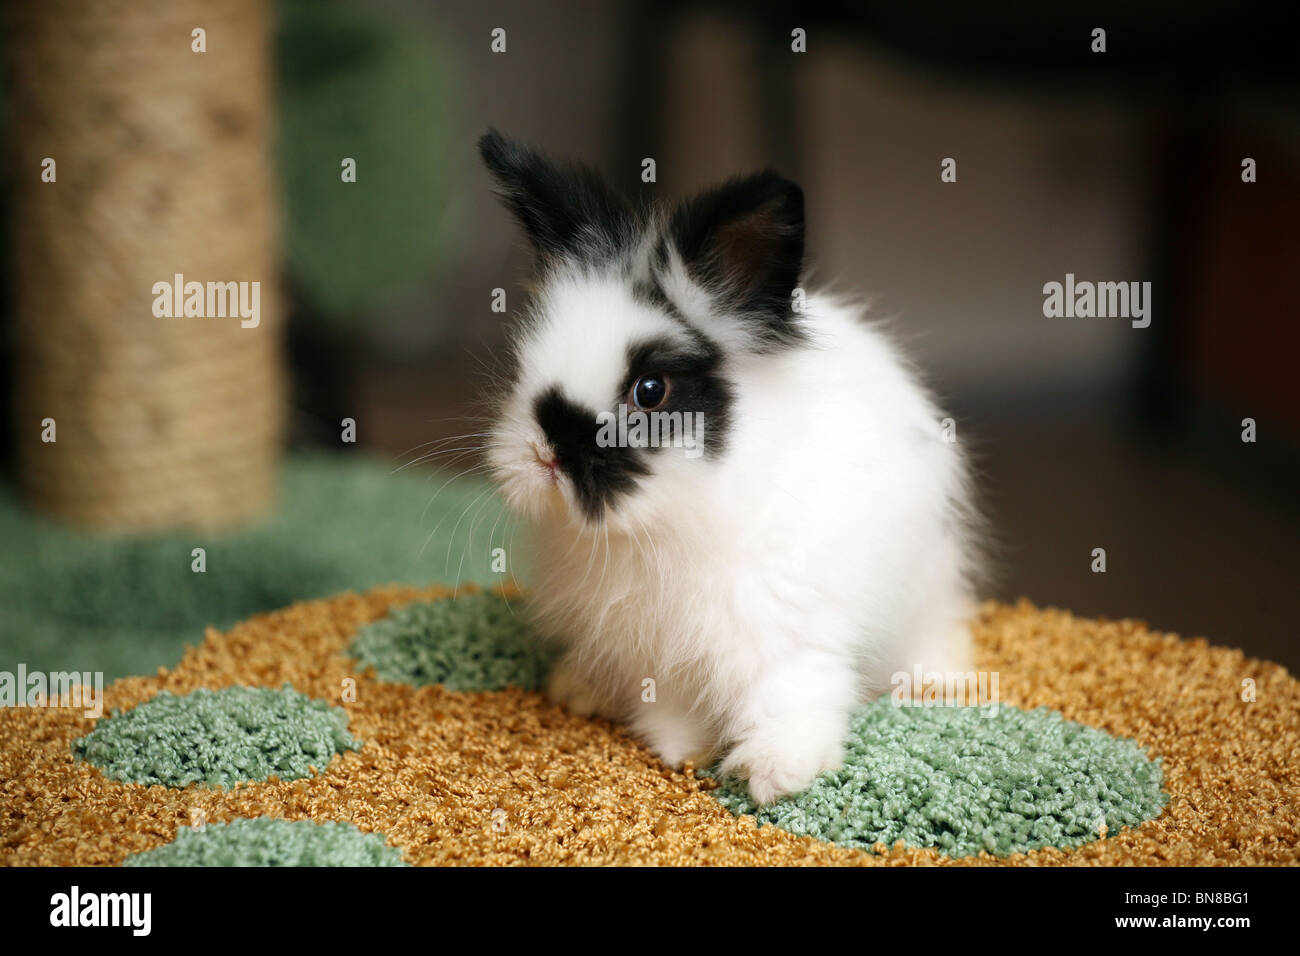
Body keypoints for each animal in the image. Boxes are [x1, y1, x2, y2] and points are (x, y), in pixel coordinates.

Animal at [475, 125, 977, 801]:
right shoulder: (657, 648)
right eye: (523, 367)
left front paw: (776, 773)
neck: (667, 522)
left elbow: (791, 694)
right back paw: (578, 687)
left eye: (651, 391)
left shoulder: (790, 626)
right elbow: (671, 702)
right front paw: (678, 746)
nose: (545, 453)